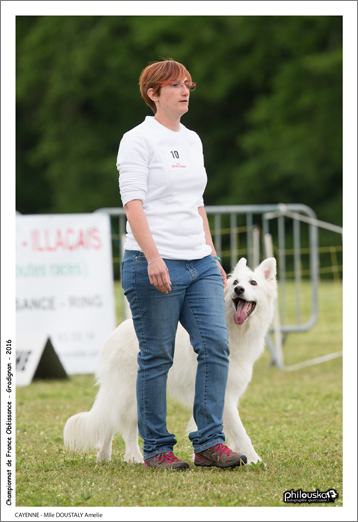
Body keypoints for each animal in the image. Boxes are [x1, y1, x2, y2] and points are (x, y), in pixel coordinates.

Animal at [63, 256, 276, 464]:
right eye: (235, 283)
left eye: (253, 283)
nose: (238, 290)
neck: (235, 330)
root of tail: (113, 334)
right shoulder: (226, 397)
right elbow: (241, 432)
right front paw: (255, 460)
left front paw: (206, 456)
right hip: (128, 393)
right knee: (119, 425)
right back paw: (123, 457)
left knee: (118, 425)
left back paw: (117, 457)